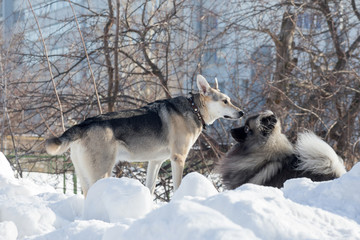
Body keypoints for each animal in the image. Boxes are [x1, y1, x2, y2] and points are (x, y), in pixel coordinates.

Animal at [44, 75, 242, 197]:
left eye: (230, 100)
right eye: (225, 101)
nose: (242, 112)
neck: (195, 109)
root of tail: (83, 124)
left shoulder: (154, 162)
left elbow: (150, 188)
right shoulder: (178, 158)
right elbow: (177, 186)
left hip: (84, 174)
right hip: (101, 172)